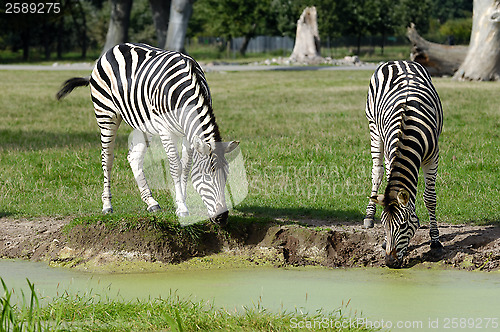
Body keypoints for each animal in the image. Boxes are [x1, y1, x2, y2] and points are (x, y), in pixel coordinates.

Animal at [55, 41, 239, 223]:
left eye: (227, 175)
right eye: (207, 177)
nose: (222, 217)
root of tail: (112, 49)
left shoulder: (188, 133)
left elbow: (186, 166)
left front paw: (182, 200)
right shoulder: (166, 130)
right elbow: (176, 166)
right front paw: (181, 207)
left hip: (142, 122)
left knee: (134, 158)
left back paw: (151, 202)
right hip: (105, 114)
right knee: (107, 159)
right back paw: (107, 205)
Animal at [362, 60, 444, 268]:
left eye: (404, 225)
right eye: (383, 224)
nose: (390, 262)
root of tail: (397, 61)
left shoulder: (433, 156)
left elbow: (430, 198)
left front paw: (435, 240)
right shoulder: (390, 153)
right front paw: (384, 241)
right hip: (374, 128)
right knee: (377, 172)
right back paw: (368, 215)